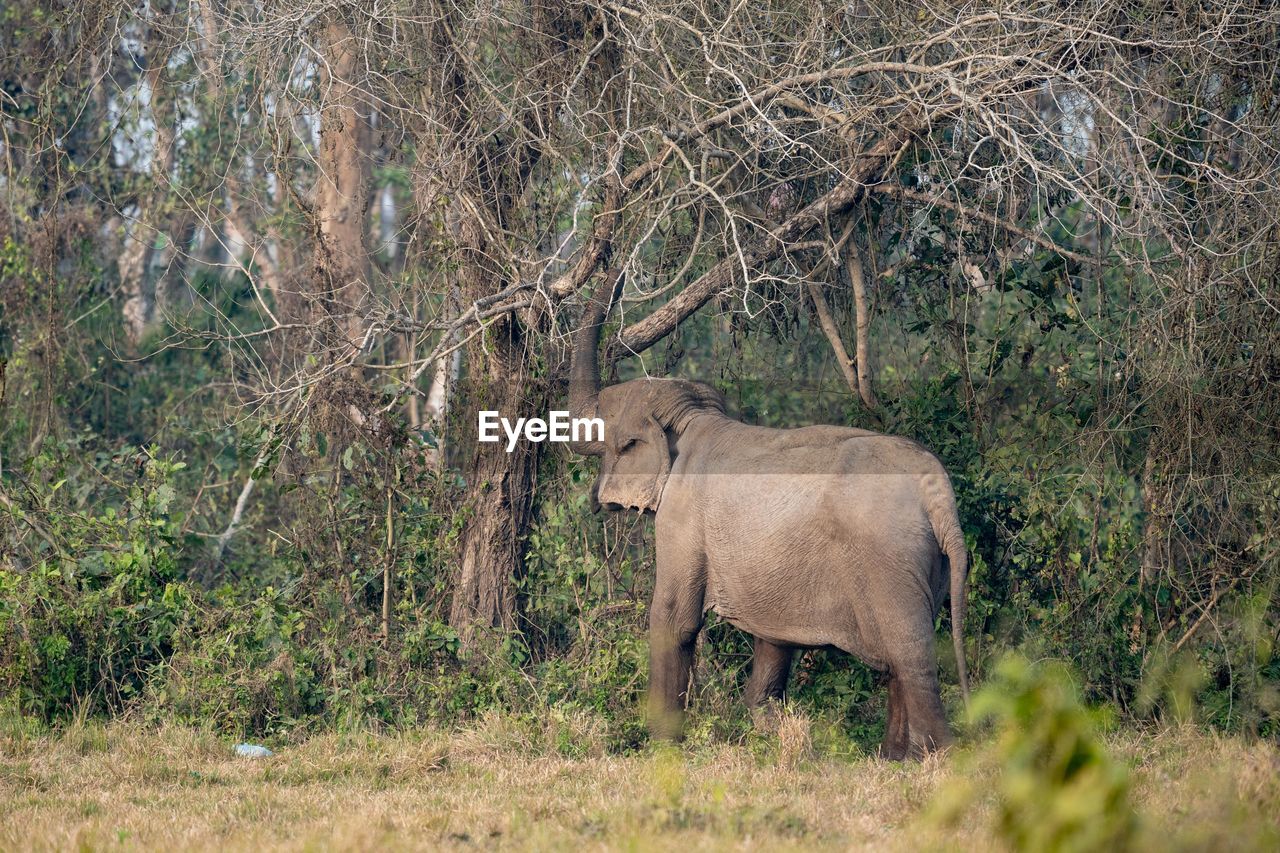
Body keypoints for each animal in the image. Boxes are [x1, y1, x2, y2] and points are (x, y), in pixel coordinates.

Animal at [565, 274, 962, 758]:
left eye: (602, 423)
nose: (614, 272)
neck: (690, 420)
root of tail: (937, 495)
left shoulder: (681, 518)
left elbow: (673, 618)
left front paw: (661, 748)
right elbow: (774, 638)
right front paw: (763, 723)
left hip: (891, 561)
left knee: (909, 650)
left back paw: (934, 758)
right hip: (931, 562)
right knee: (899, 659)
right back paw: (894, 758)